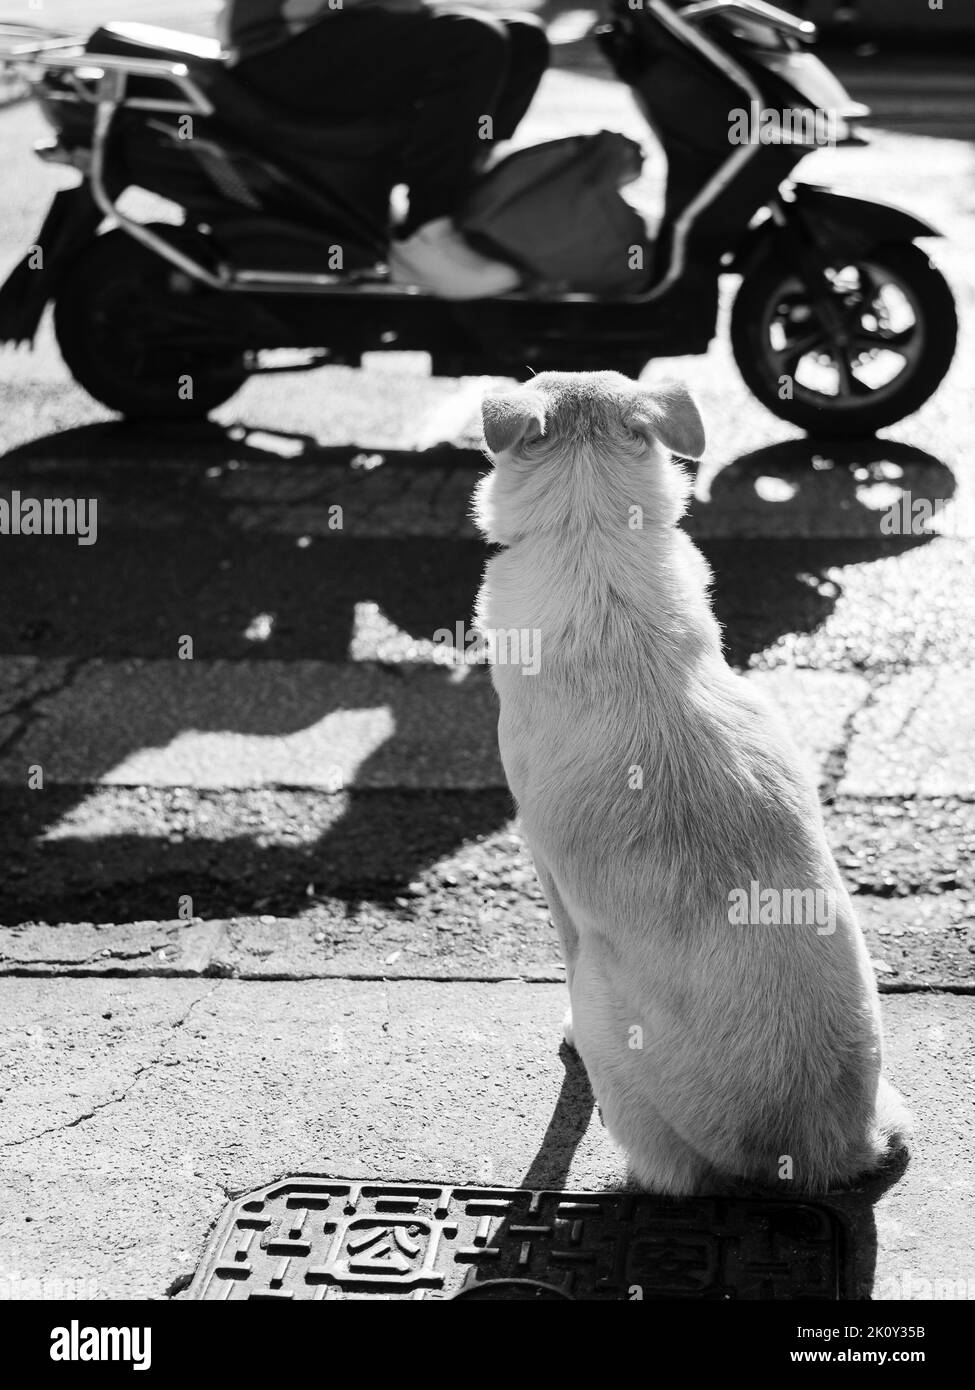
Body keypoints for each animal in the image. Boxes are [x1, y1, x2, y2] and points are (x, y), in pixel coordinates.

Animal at [475, 372, 906, 1195]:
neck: (592, 537)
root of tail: (811, 1152)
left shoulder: (546, 871)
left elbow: (562, 950)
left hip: (610, 1012)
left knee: (669, 1169)